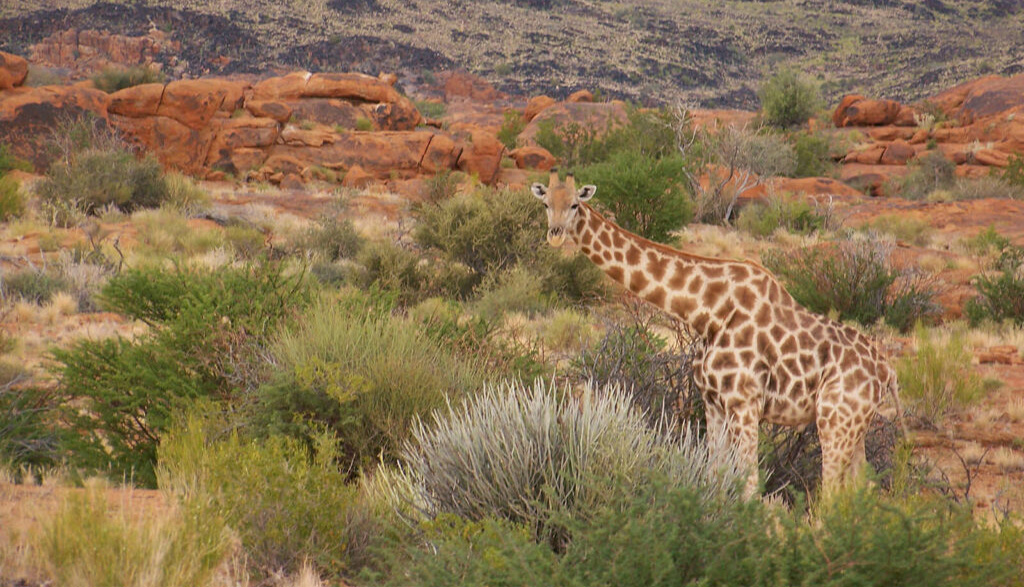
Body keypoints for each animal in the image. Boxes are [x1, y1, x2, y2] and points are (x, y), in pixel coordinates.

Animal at [532, 169, 901, 493]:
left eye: (575, 205)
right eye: (546, 204)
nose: (554, 235)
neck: (707, 311)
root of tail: (887, 371)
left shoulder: (745, 403)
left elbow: (749, 485)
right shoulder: (713, 403)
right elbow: (715, 477)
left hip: (835, 420)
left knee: (831, 493)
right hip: (854, 424)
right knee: (859, 489)